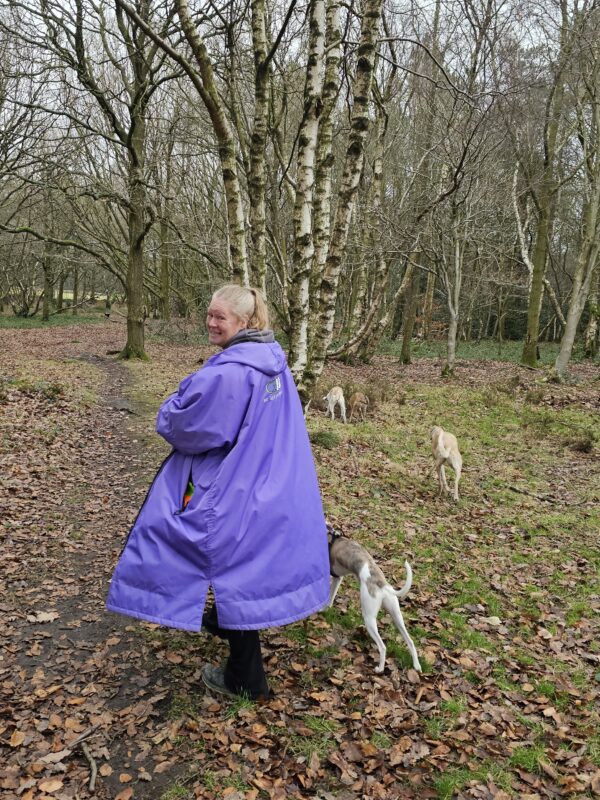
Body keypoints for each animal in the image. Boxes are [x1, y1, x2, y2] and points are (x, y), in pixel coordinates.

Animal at [326, 524, 420, 676]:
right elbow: (331, 597)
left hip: (369, 617)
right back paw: (417, 666)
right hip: (396, 615)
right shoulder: (337, 578)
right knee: (410, 641)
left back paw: (380, 668)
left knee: (382, 647)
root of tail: (382, 585)